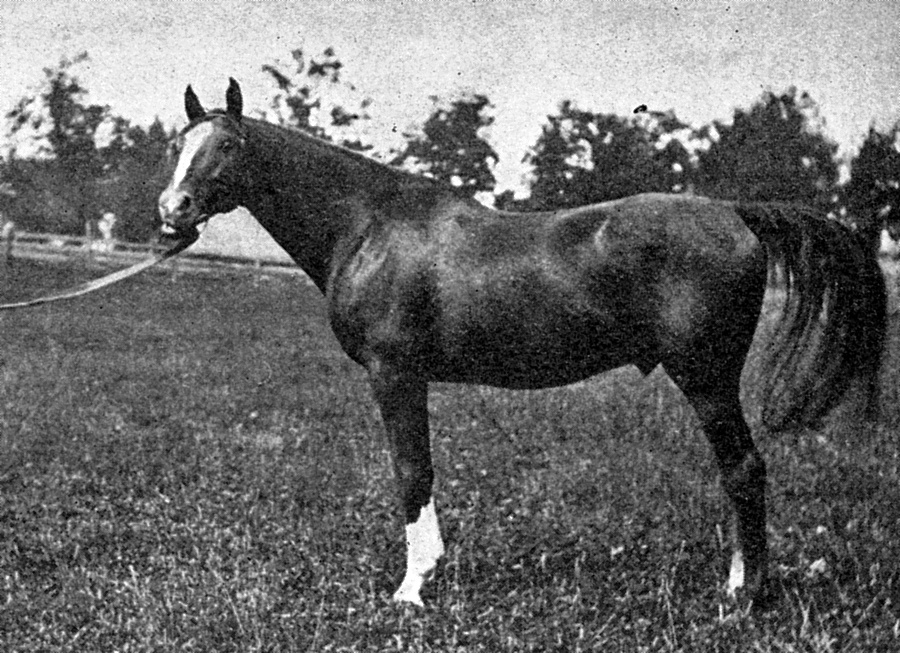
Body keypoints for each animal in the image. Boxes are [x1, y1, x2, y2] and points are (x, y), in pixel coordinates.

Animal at [158, 79, 886, 607]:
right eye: (178, 144)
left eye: (229, 146)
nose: (172, 211)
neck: (368, 225)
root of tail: (736, 213)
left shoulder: (395, 373)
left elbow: (412, 471)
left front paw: (412, 589)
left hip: (705, 377)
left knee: (743, 469)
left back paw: (744, 595)